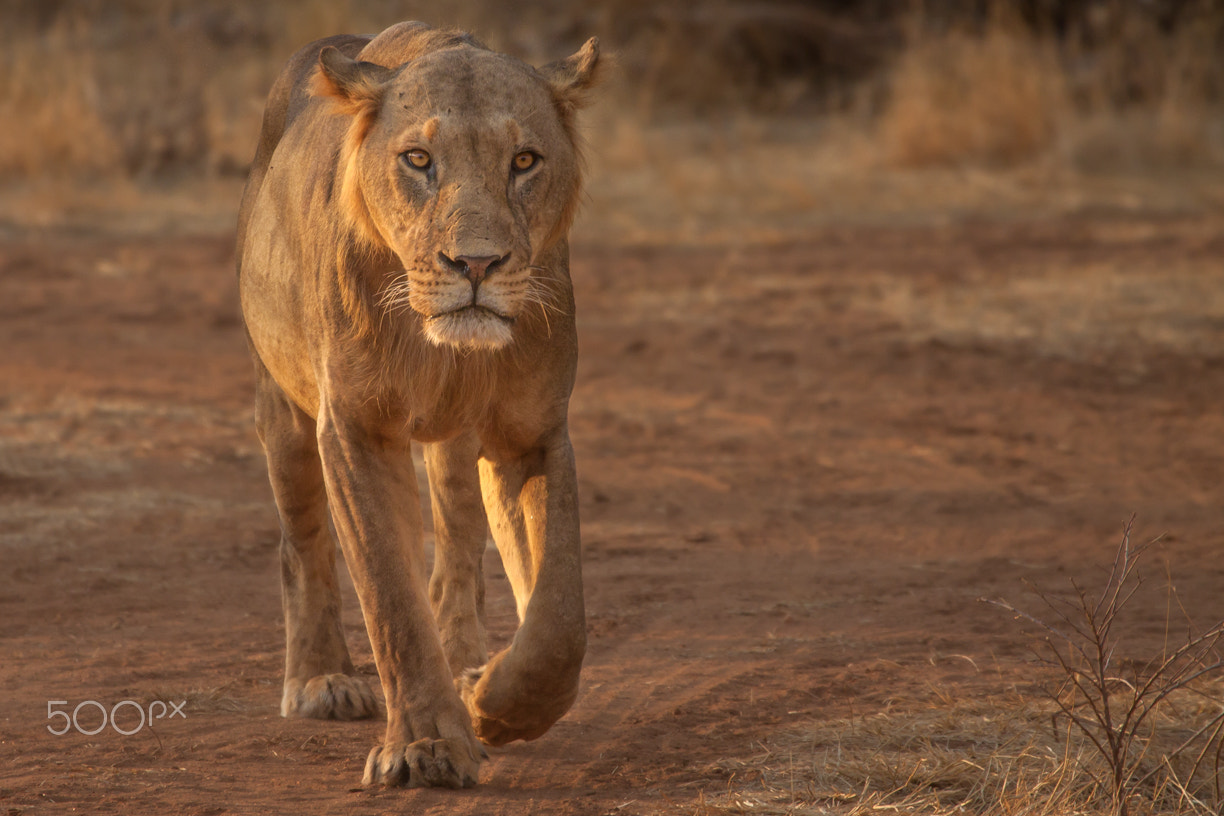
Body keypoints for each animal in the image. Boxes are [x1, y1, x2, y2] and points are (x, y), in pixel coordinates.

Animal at [233, 22, 602, 792]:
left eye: (525, 160)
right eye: (418, 160)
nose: (477, 265)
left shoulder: (531, 432)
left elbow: (558, 615)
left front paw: (496, 706)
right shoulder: (356, 430)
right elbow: (390, 597)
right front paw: (426, 746)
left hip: (456, 445)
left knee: (458, 546)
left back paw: (467, 665)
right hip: (281, 406)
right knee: (302, 544)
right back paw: (321, 681)